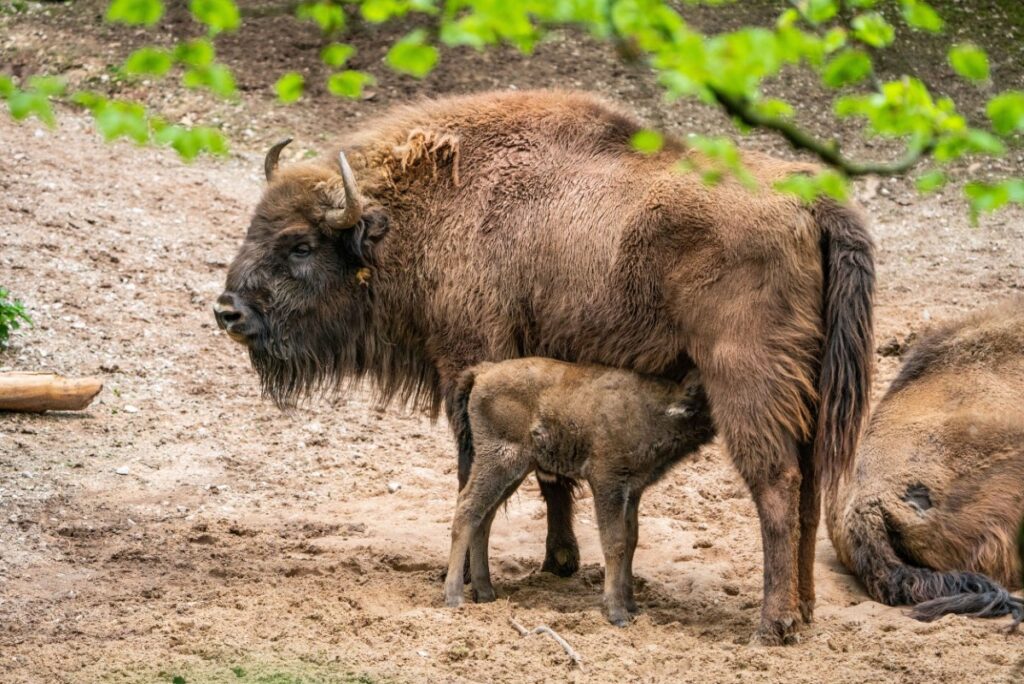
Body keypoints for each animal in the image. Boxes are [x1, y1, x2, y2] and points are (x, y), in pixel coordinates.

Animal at [444, 358, 716, 626]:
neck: (654, 408)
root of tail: (483, 371)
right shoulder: (608, 483)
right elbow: (615, 542)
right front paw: (617, 612)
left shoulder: (633, 491)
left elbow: (631, 540)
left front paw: (631, 605)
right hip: (500, 462)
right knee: (467, 510)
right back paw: (454, 596)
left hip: (514, 473)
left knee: (483, 518)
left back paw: (485, 592)